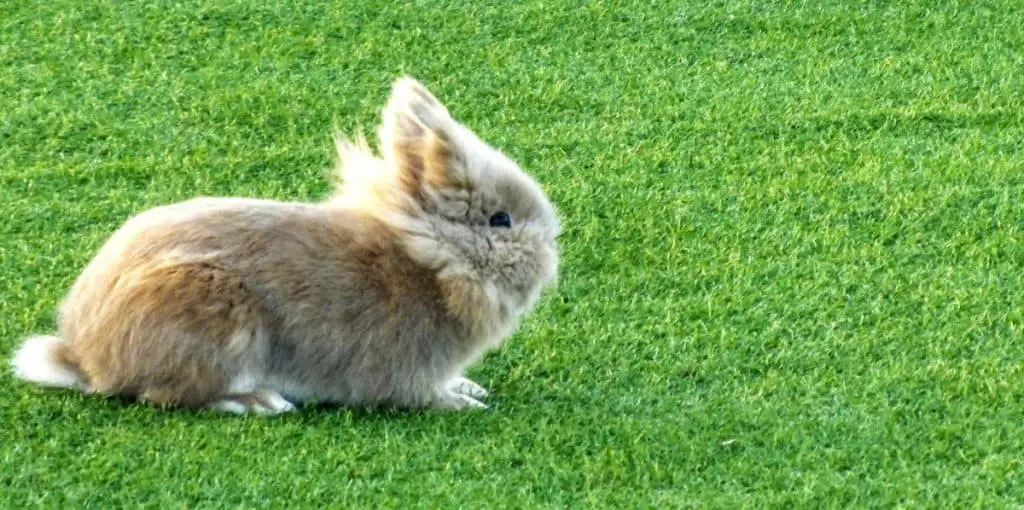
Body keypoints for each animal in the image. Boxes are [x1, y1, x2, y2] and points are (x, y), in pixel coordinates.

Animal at [9, 75, 561, 413]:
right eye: (500, 220)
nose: (552, 260)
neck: (429, 260)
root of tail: (86, 357)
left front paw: (470, 387)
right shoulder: (404, 374)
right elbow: (420, 396)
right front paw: (464, 402)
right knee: (166, 395)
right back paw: (259, 402)